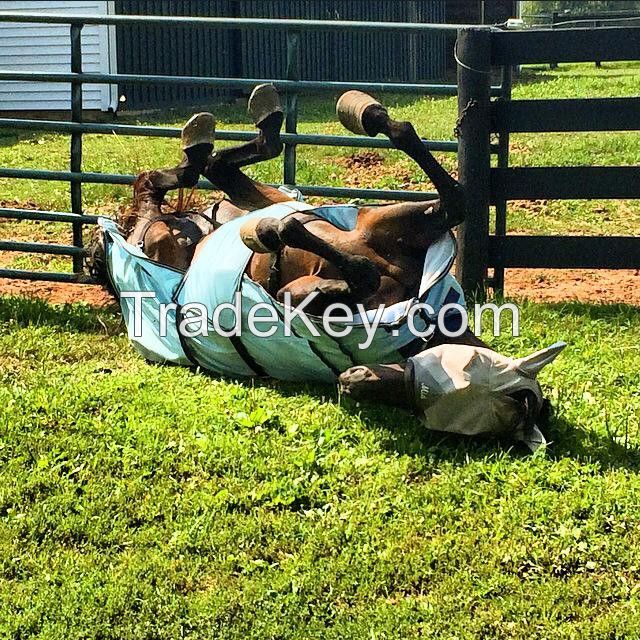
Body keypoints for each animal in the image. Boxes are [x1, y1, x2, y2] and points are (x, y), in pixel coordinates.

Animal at [87, 86, 564, 450]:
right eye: (457, 385)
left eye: (427, 408)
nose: (353, 380)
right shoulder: (386, 225)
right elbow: (452, 196)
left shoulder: (296, 292)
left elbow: (356, 268)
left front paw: (275, 235)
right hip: (178, 228)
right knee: (179, 178)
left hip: (172, 232)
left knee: (181, 180)